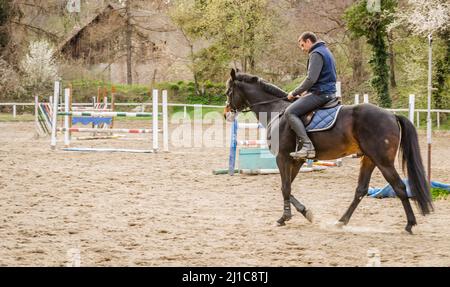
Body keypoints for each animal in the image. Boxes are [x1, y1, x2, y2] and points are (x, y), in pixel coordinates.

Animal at [224, 68, 432, 235]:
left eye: (228, 92)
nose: (226, 114)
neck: (276, 110)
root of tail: (391, 114)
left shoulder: (282, 157)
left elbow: (285, 188)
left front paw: (285, 218)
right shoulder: (296, 160)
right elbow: (287, 187)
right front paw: (306, 213)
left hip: (383, 161)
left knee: (399, 187)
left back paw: (409, 224)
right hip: (369, 159)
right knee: (361, 190)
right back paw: (341, 222)